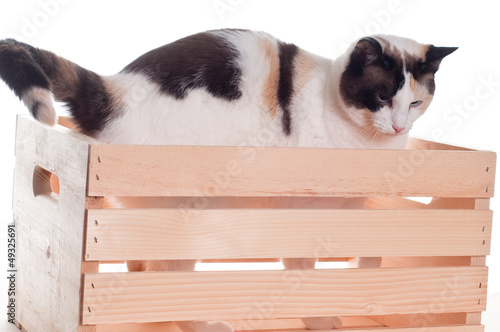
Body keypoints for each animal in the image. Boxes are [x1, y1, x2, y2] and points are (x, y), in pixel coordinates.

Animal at [0, 29, 458, 330]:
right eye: (381, 97)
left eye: (415, 102)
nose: (398, 127)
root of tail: (114, 90)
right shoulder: (305, 214)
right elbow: (304, 273)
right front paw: (320, 316)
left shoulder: (359, 214)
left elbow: (367, 262)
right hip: (189, 219)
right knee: (162, 277)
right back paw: (200, 323)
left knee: (137, 266)